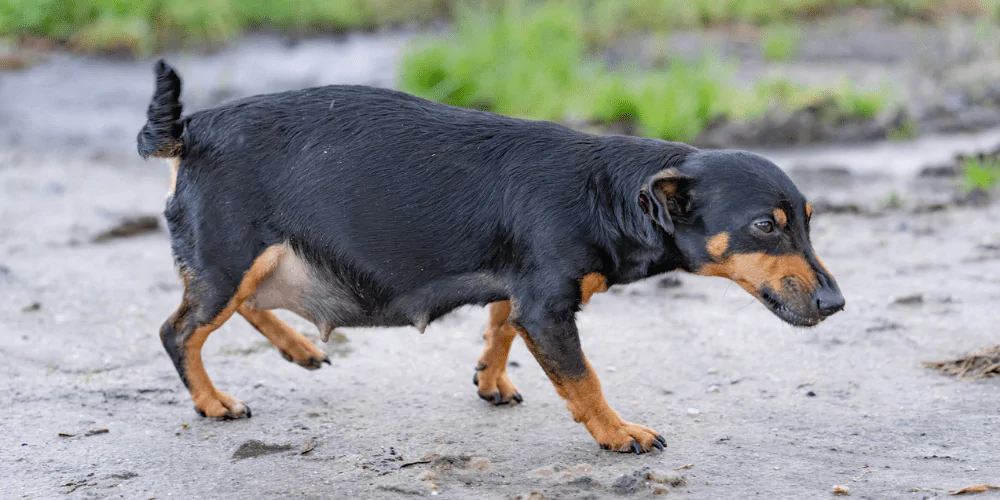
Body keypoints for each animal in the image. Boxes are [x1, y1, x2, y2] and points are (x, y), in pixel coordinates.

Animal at [139, 60, 844, 456]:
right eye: (765, 226)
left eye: (808, 222)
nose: (836, 302)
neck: (607, 193)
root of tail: (190, 132)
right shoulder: (549, 309)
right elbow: (585, 380)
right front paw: (619, 434)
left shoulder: (521, 289)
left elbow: (500, 326)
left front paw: (490, 379)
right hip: (232, 257)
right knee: (180, 330)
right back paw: (212, 401)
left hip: (249, 263)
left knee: (233, 308)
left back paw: (297, 347)